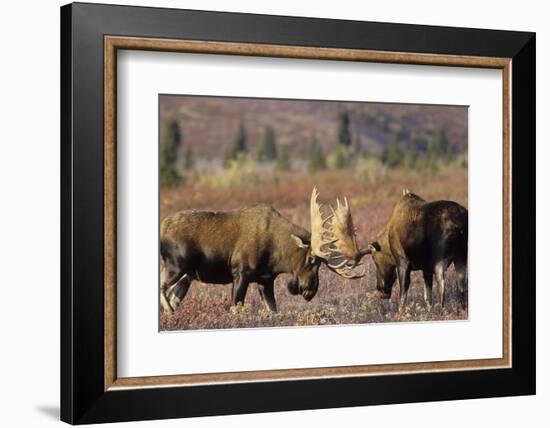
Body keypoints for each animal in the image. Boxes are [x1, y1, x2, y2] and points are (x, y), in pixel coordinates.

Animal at [160, 189, 366, 312]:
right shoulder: (240, 273)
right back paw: (170, 312)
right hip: (176, 265)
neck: (277, 257)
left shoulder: (265, 280)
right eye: (311, 260)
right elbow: (236, 308)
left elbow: (272, 310)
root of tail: (162, 228)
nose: (309, 290)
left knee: (172, 296)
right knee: (162, 289)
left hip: (187, 275)